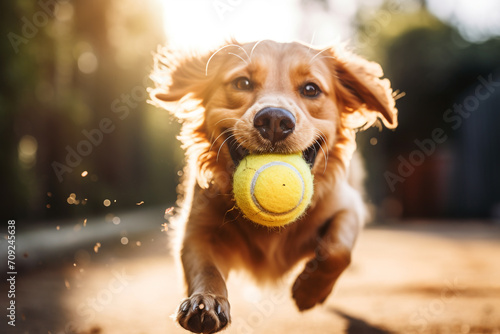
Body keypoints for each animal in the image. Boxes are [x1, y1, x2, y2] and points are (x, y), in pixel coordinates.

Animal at [150, 39, 396, 334]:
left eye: (311, 89)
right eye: (242, 83)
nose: (275, 120)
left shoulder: (347, 206)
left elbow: (337, 250)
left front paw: (310, 291)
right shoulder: (196, 230)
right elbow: (206, 269)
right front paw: (205, 302)